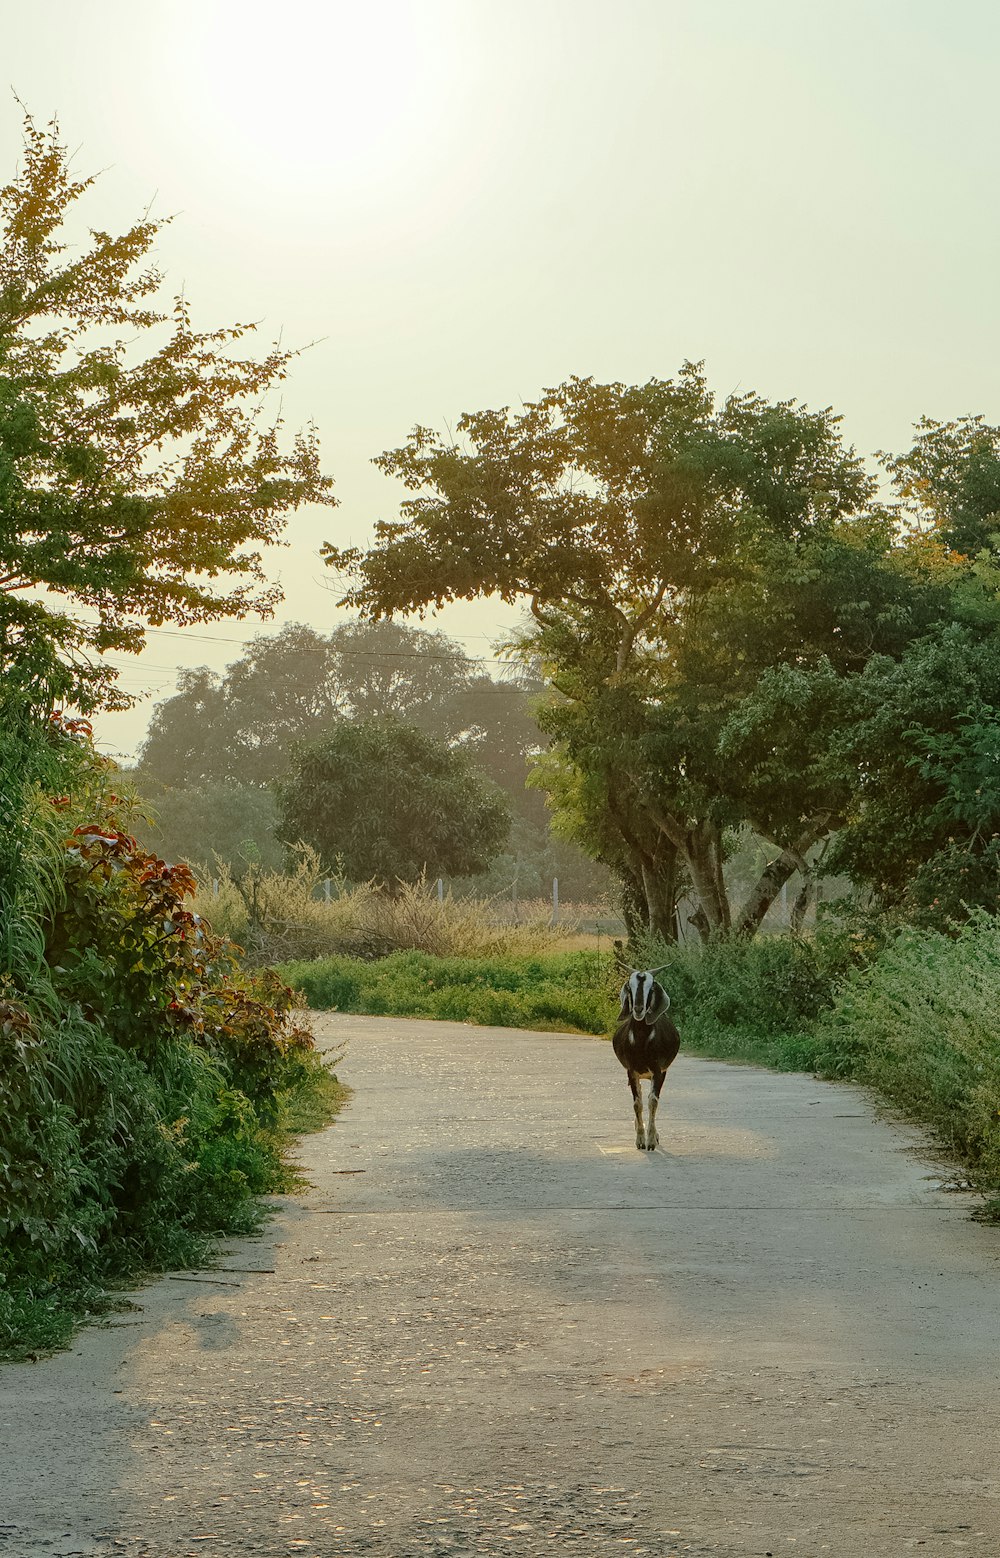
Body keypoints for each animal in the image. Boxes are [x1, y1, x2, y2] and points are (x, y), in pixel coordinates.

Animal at [607, 965, 679, 1152]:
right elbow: (637, 1103)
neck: (641, 1041)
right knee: (639, 1093)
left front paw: (651, 1140)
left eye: (651, 988)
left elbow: (652, 1101)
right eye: (629, 986)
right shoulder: (631, 1070)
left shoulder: (658, 1070)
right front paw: (640, 1139)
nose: (638, 1009)